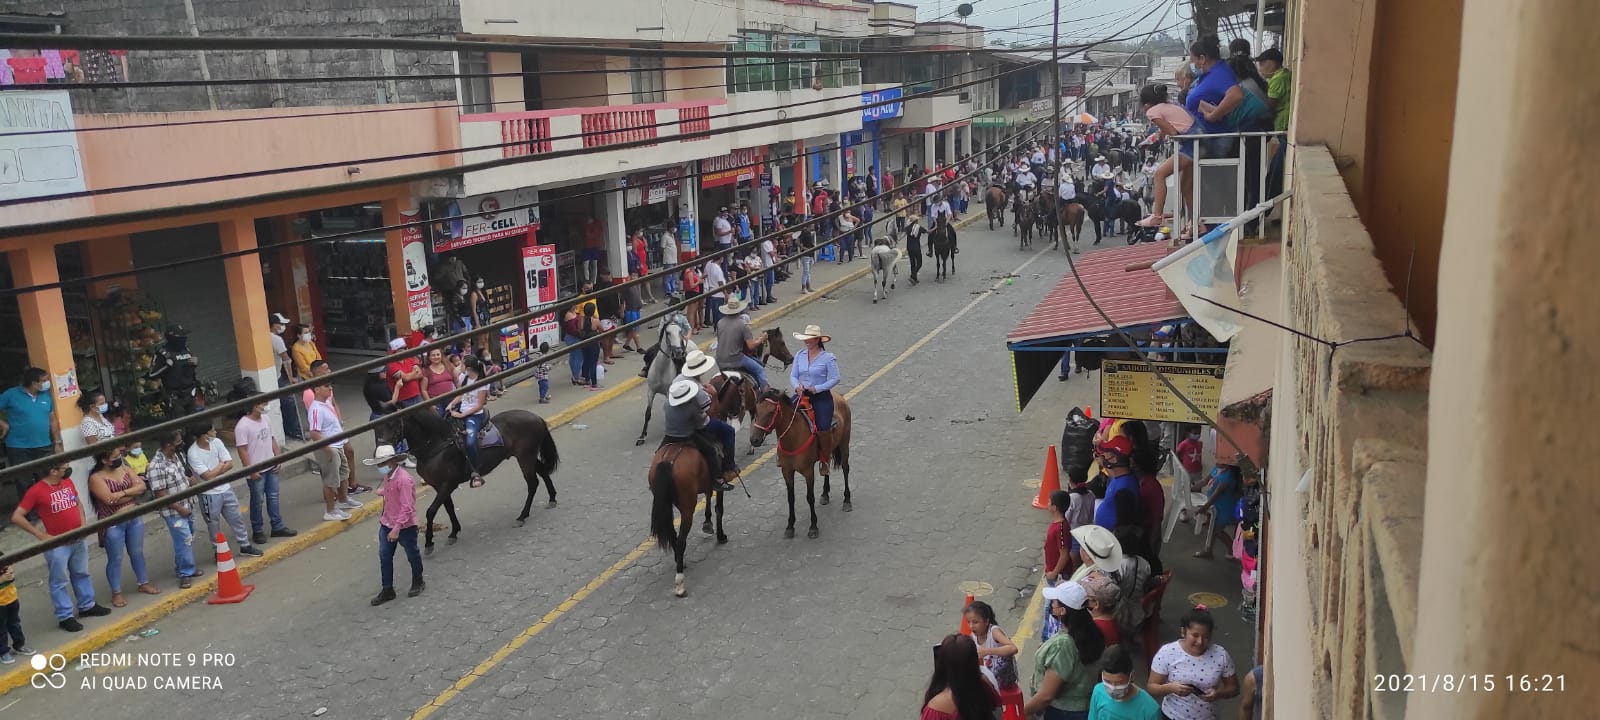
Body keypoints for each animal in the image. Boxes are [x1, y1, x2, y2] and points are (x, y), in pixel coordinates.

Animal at [379, 408, 560, 554]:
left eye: (393, 423)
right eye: (381, 425)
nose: (382, 448)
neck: (438, 446)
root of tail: (536, 417)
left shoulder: (448, 485)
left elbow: (431, 511)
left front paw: (429, 542)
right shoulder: (440, 486)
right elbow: (449, 507)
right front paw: (454, 532)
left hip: (525, 458)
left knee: (532, 483)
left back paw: (522, 516)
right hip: (527, 457)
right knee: (543, 473)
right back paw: (552, 498)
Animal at [648, 441, 726, 598]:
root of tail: (668, 459)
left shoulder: (708, 483)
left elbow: (709, 496)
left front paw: (707, 523)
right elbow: (719, 508)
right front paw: (721, 536)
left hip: (666, 504)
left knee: (673, 536)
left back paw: (680, 562)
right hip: (688, 507)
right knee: (680, 541)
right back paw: (680, 582)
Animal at [749, 389, 854, 538]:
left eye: (771, 412)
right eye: (756, 411)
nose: (754, 440)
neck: (793, 438)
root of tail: (838, 396)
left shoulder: (808, 472)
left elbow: (810, 498)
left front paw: (813, 526)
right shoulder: (786, 472)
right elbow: (790, 498)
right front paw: (790, 526)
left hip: (844, 444)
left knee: (845, 469)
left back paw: (847, 501)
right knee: (826, 467)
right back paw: (825, 494)